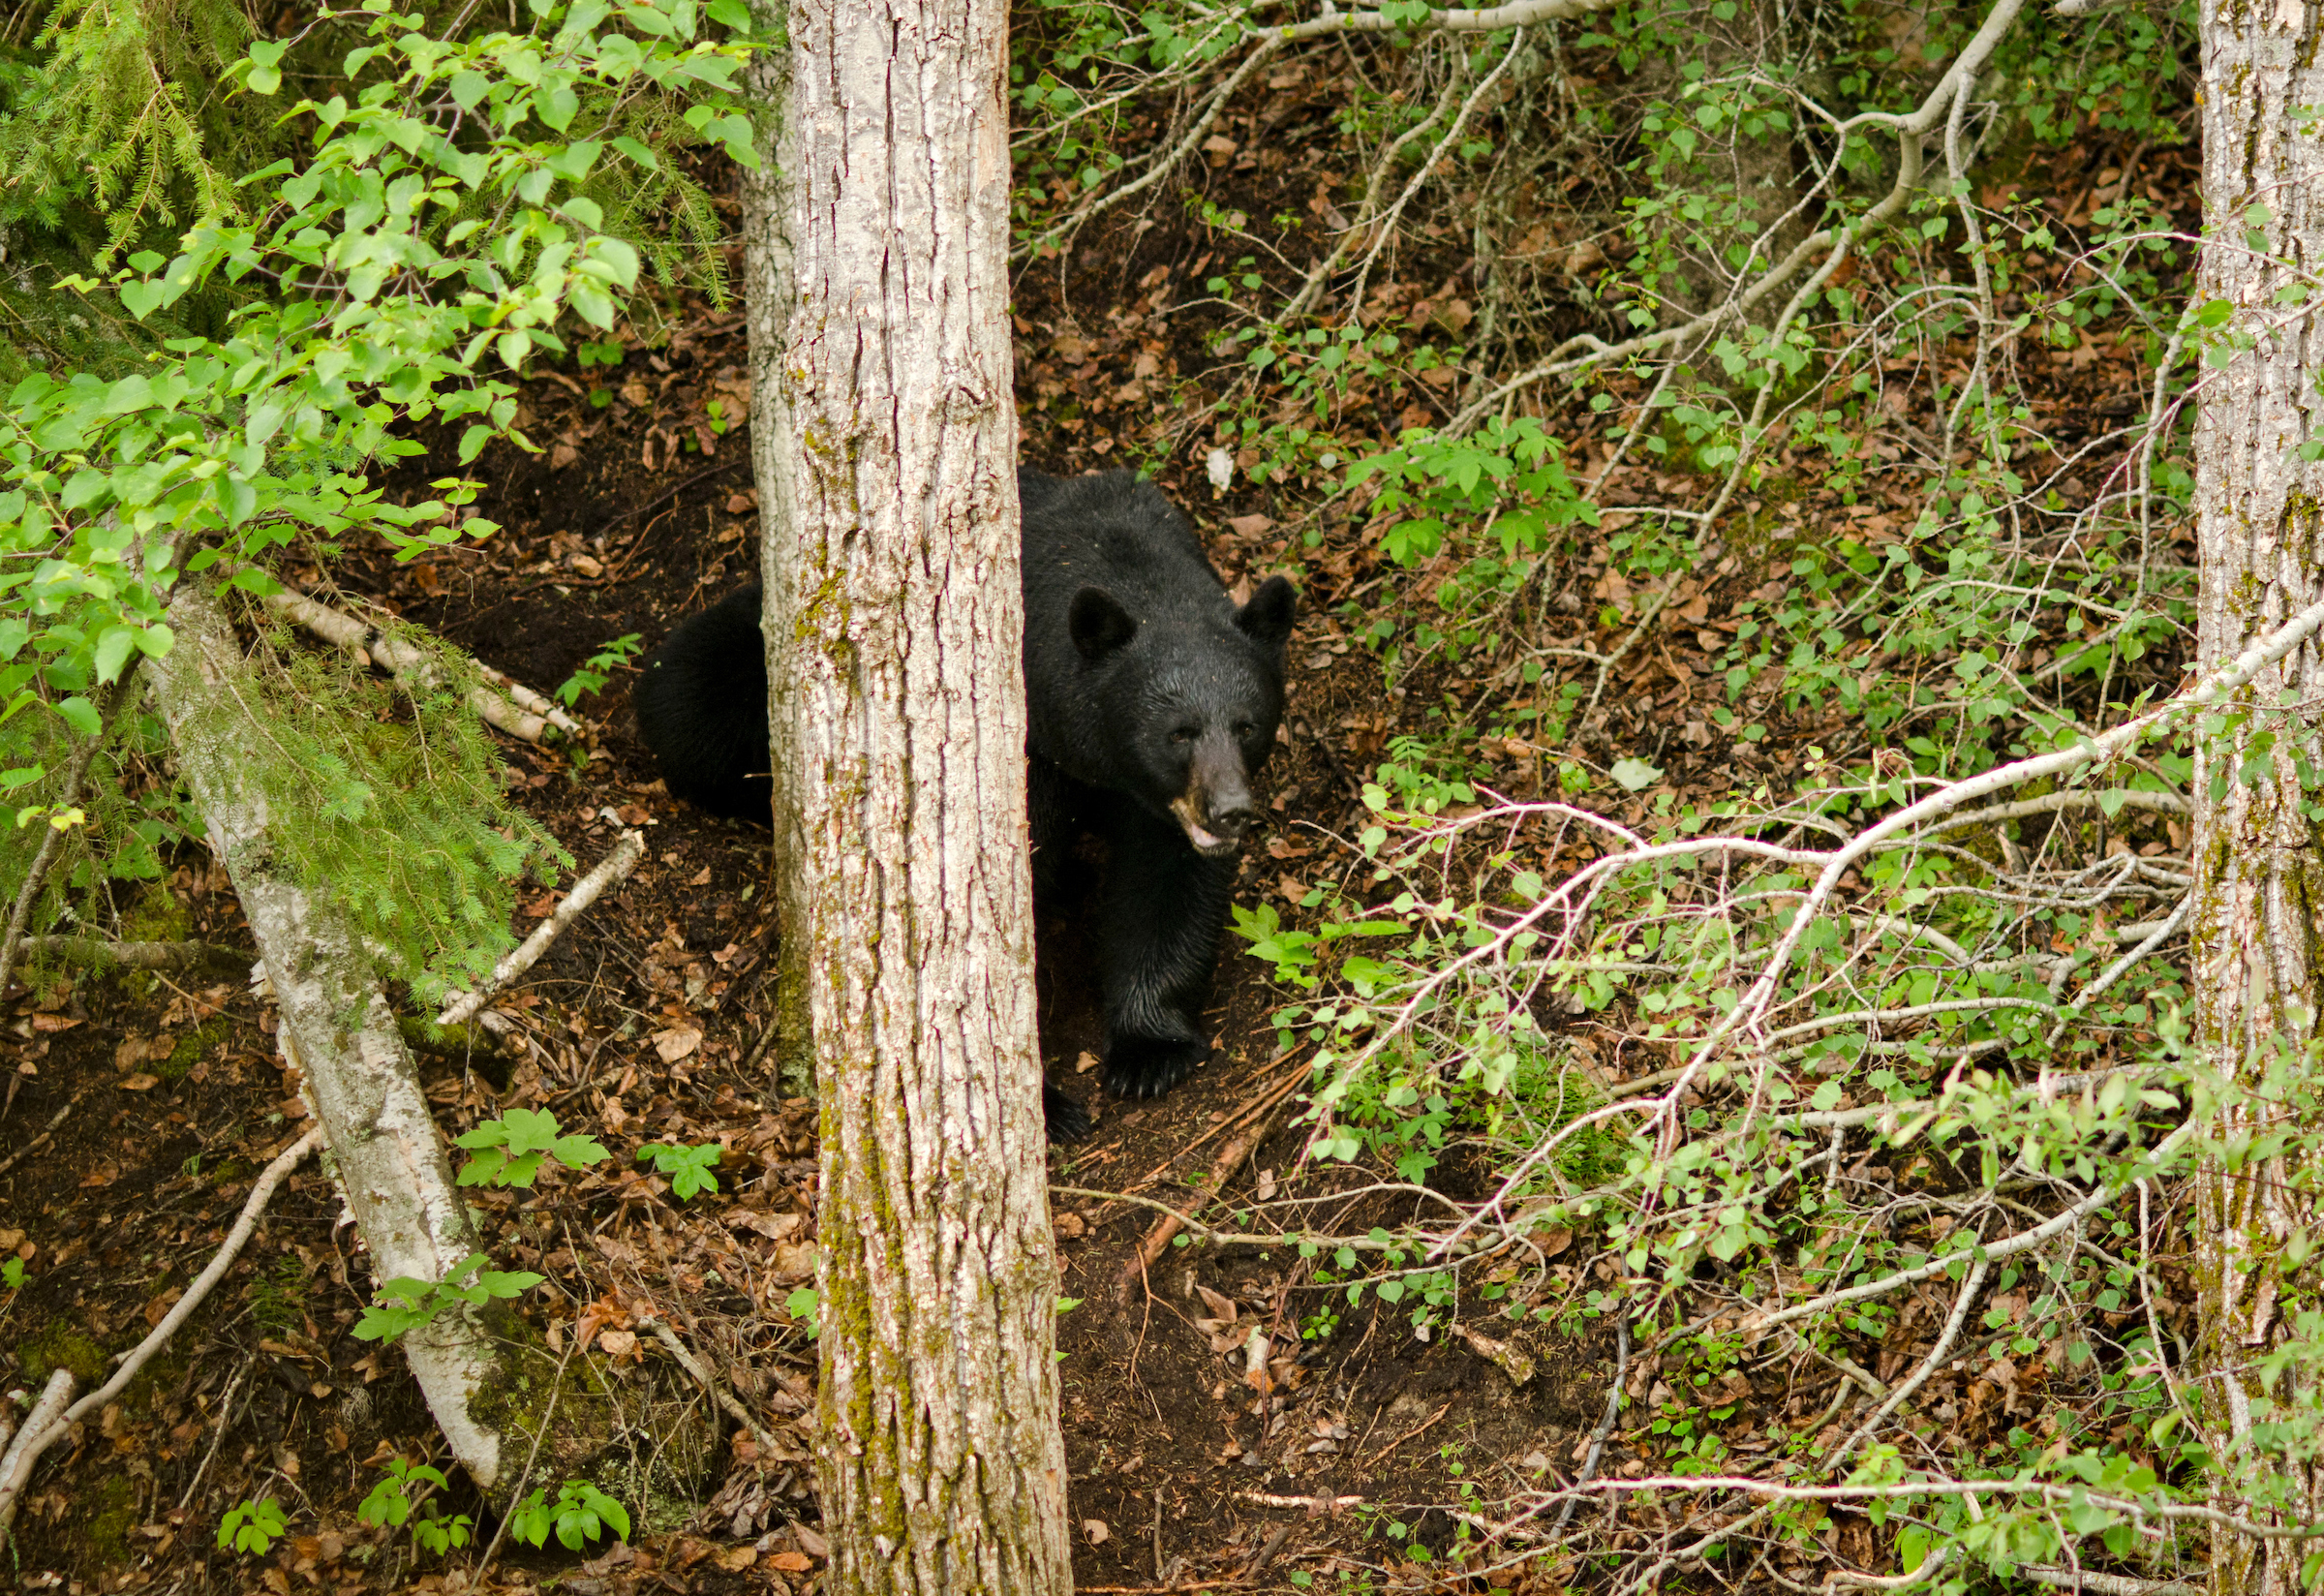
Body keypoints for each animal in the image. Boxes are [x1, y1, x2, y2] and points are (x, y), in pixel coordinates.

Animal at [636, 464, 1292, 1138]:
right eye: (1179, 733)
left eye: (1247, 725)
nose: (1230, 809)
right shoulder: (1024, 761)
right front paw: (1043, 1102)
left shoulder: (1152, 803)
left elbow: (1167, 882)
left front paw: (1150, 1050)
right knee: (687, 698)